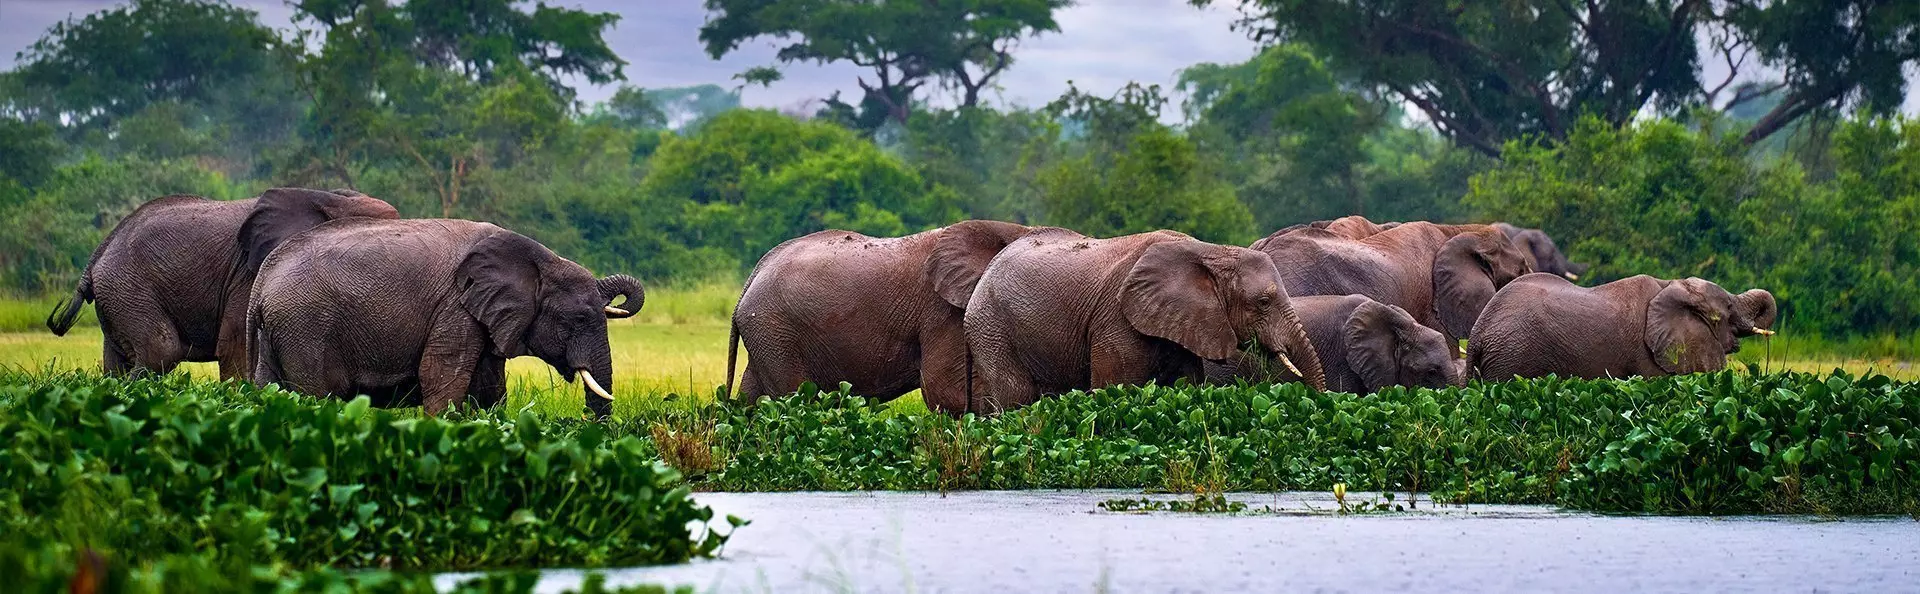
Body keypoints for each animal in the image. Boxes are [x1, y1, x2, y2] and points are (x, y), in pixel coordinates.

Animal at [46, 188, 399, 377]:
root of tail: (97, 256)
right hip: (128, 287)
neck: (327, 196)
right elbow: (236, 347)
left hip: (117, 295)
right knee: (161, 351)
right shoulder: (247, 273)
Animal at [247, 218, 642, 418]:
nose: (589, 428)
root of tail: (261, 284)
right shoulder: (455, 306)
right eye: (578, 319)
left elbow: (489, 387)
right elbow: (442, 378)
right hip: (306, 328)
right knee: (316, 397)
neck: (540, 258)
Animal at [724, 220, 1043, 414]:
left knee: (750, 400)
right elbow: (943, 386)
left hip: (766, 333)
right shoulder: (941, 311)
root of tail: (755, 273)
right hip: (775, 331)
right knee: (793, 398)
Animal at [964, 229, 1328, 414]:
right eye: (1263, 302)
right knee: (1015, 395)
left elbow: (1185, 389)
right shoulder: (1116, 320)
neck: (1210, 251)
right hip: (990, 325)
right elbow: (1116, 391)